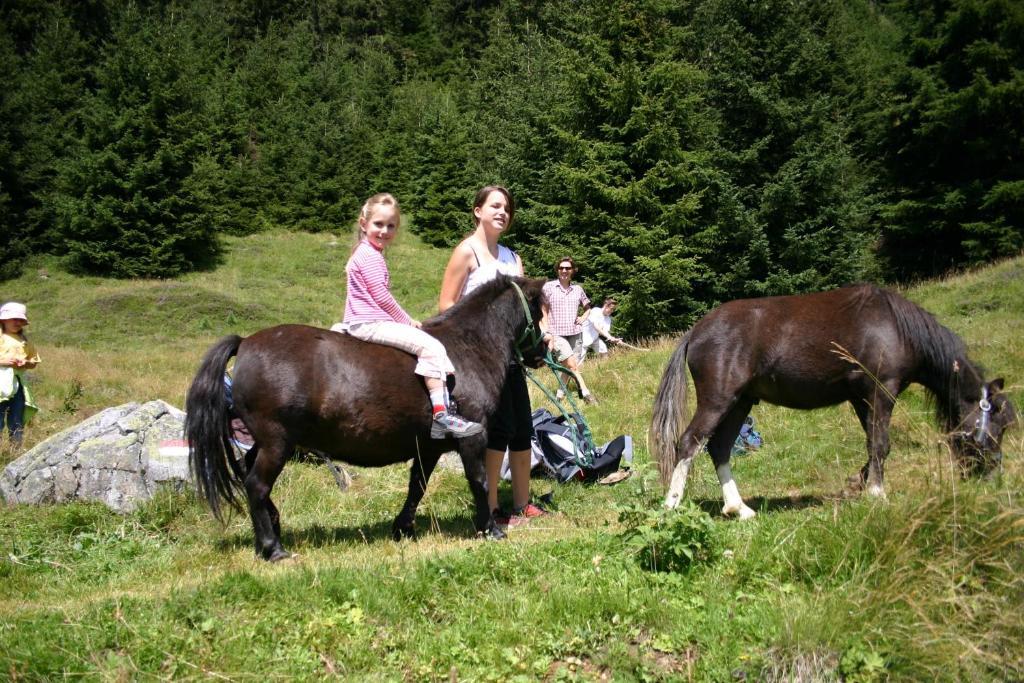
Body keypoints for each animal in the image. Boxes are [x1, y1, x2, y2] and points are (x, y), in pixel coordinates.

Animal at [184, 276, 552, 561]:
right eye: (539, 311)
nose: (544, 352)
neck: (467, 348)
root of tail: (245, 343)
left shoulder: (428, 446)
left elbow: (417, 485)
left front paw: (402, 528)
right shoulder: (472, 438)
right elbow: (479, 480)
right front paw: (489, 528)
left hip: (265, 441)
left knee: (248, 471)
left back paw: (274, 525)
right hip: (278, 442)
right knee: (256, 485)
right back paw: (272, 547)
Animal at [651, 282, 1019, 518]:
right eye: (999, 425)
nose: (992, 475)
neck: (895, 327)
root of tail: (695, 332)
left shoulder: (860, 399)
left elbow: (872, 444)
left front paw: (859, 484)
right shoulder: (881, 392)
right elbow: (881, 444)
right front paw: (877, 494)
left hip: (740, 402)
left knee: (719, 448)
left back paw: (738, 508)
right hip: (719, 400)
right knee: (689, 443)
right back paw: (671, 505)